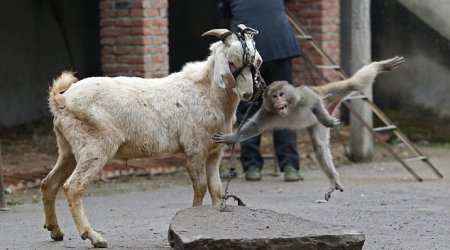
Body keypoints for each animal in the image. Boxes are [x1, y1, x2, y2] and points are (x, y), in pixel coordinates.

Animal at [41, 25, 262, 248]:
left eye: (255, 62)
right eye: (231, 61)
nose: (247, 93)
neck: (207, 93)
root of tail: (61, 100)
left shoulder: (215, 152)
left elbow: (216, 189)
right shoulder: (195, 149)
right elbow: (200, 187)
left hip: (68, 148)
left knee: (49, 183)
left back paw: (55, 231)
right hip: (95, 145)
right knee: (73, 187)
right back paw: (94, 237)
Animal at [213, 55, 406, 200]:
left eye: (282, 94)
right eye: (274, 96)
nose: (279, 101)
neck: (289, 108)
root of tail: (330, 104)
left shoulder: (303, 96)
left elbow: (313, 101)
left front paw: (327, 120)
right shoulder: (267, 112)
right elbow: (254, 126)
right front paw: (231, 138)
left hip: (326, 94)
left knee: (353, 84)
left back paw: (382, 66)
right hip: (316, 124)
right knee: (319, 147)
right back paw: (333, 179)